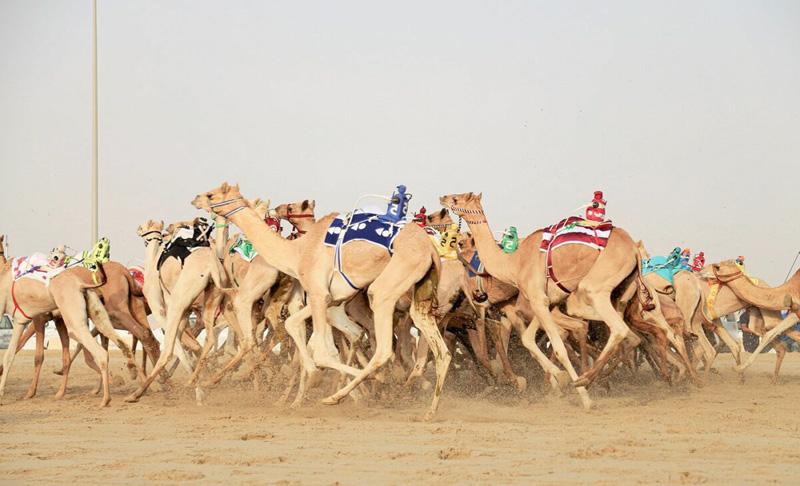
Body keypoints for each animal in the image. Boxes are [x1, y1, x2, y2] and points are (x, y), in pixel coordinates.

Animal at [192, 182, 450, 419]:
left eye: (211, 195)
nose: (196, 199)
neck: (297, 253)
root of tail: (430, 249)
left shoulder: (317, 294)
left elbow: (322, 352)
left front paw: (315, 380)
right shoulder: (330, 300)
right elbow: (295, 325)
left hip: (391, 282)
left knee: (385, 345)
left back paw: (337, 396)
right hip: (420, 291)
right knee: (441, 350)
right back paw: (430, 409)